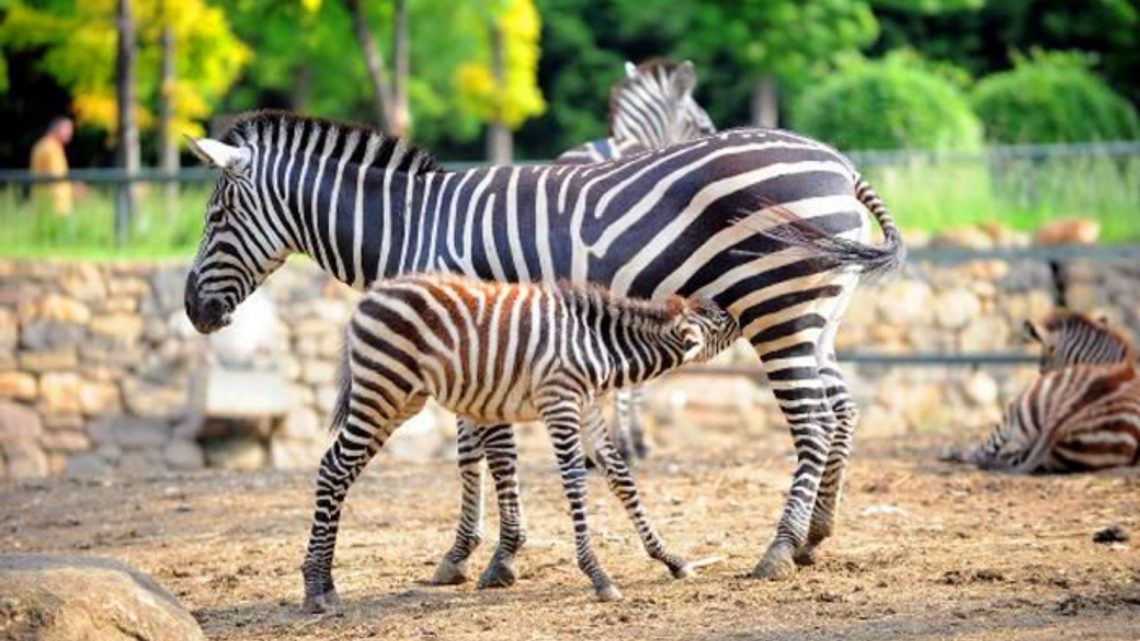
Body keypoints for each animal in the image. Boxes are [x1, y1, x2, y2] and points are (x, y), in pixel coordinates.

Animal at [303, 271, 738, 606]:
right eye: (721, 321)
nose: (739, 309)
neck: (598, 346)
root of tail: (371, 296)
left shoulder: (587, 408)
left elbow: (621, 478)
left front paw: (670, 558)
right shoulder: (559, 403)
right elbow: (575, 484)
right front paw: (598, 575)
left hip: (399, 400)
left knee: (338, 469)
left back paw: (324, 581)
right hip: (381, 390)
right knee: (334, 469)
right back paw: (315, 588)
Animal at [943, 312, 1140, 472]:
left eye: (1041, 367)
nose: (1041, 373)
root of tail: (1060, 423)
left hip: (1014, 413)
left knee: (984, 452)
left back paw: (951, 452)